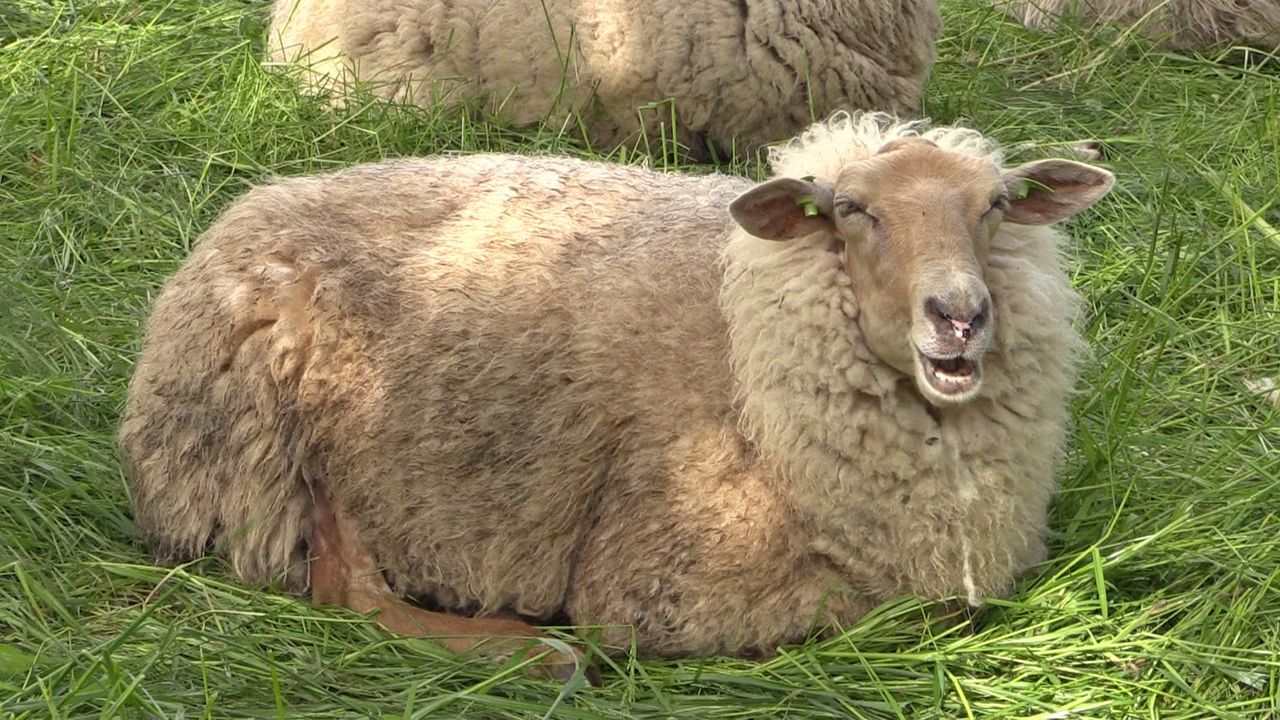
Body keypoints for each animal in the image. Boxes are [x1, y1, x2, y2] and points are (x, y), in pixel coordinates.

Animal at [124, 110, 1116, 671]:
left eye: (996, 206)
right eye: (851, 211)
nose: (960, 315)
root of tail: (236, 217)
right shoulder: (663, 578)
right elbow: (877, 613)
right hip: (295, 443)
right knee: (346, 586)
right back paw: (538, 653)